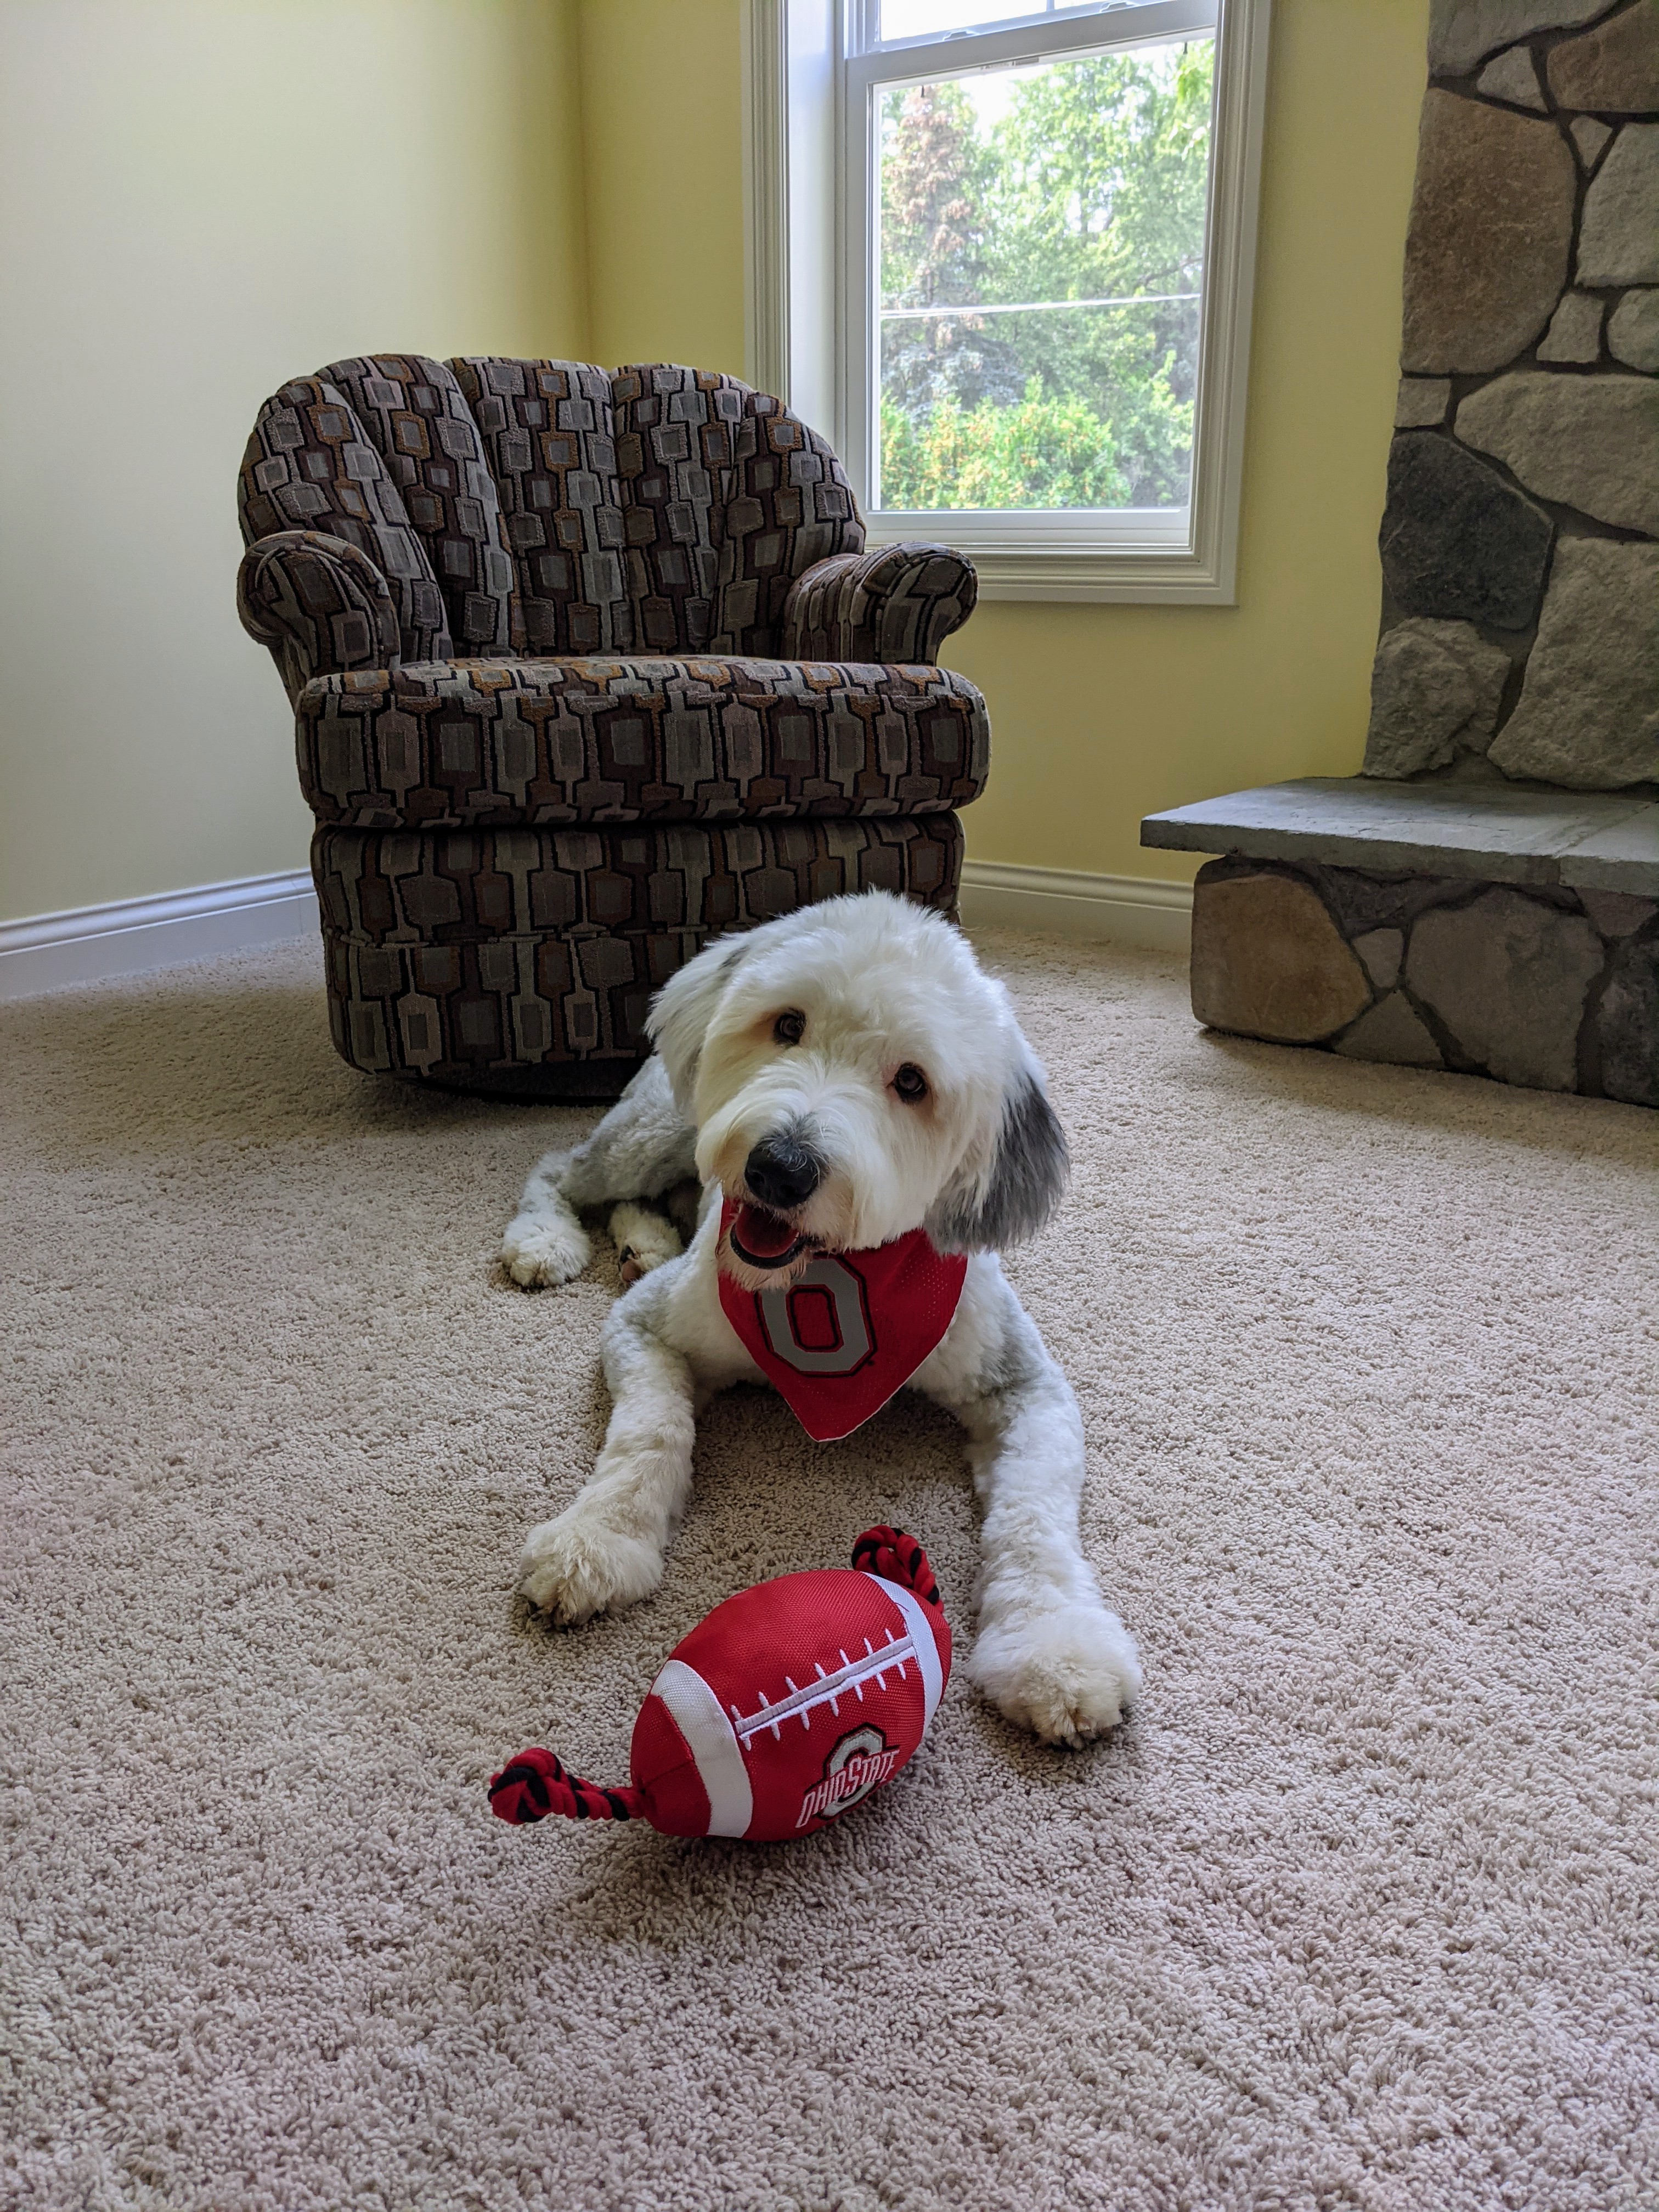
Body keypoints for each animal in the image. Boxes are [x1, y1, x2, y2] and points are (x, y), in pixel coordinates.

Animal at [498, 884, 1141, 1743]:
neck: (830, 1276)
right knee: (561, 1171)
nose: (779, 1167)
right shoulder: (646, 1326)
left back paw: (647, 1237)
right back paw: (548, 1239)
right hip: (657, 1131)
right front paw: (596, 1540)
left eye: (912, 1082)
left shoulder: (1026, 1387)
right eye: (788, 1024)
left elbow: (1035, 1514)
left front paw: (1056, 1652)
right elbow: (648, 1434)